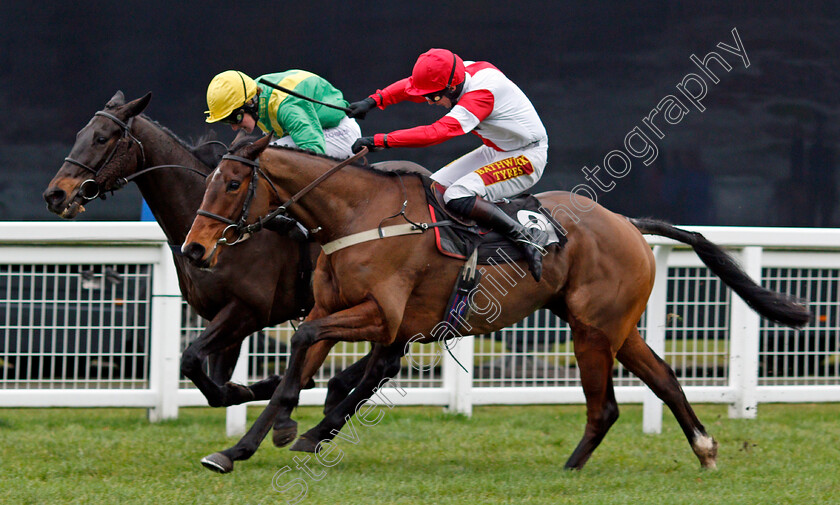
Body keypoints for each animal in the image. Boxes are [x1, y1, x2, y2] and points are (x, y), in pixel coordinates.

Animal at [182, 134, 808, 472]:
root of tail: (627, 223)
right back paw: (704, 447)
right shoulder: (335, 311)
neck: (357, 217)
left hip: (593, 331)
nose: (194, 249)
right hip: (616, 327)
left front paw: (294, 429)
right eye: (207, 181)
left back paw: (571, 469)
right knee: (666, 381)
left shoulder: (381, 317)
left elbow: (310, 351)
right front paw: (240, 447)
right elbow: (298, 367)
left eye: (232, 184)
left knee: (606, 406)